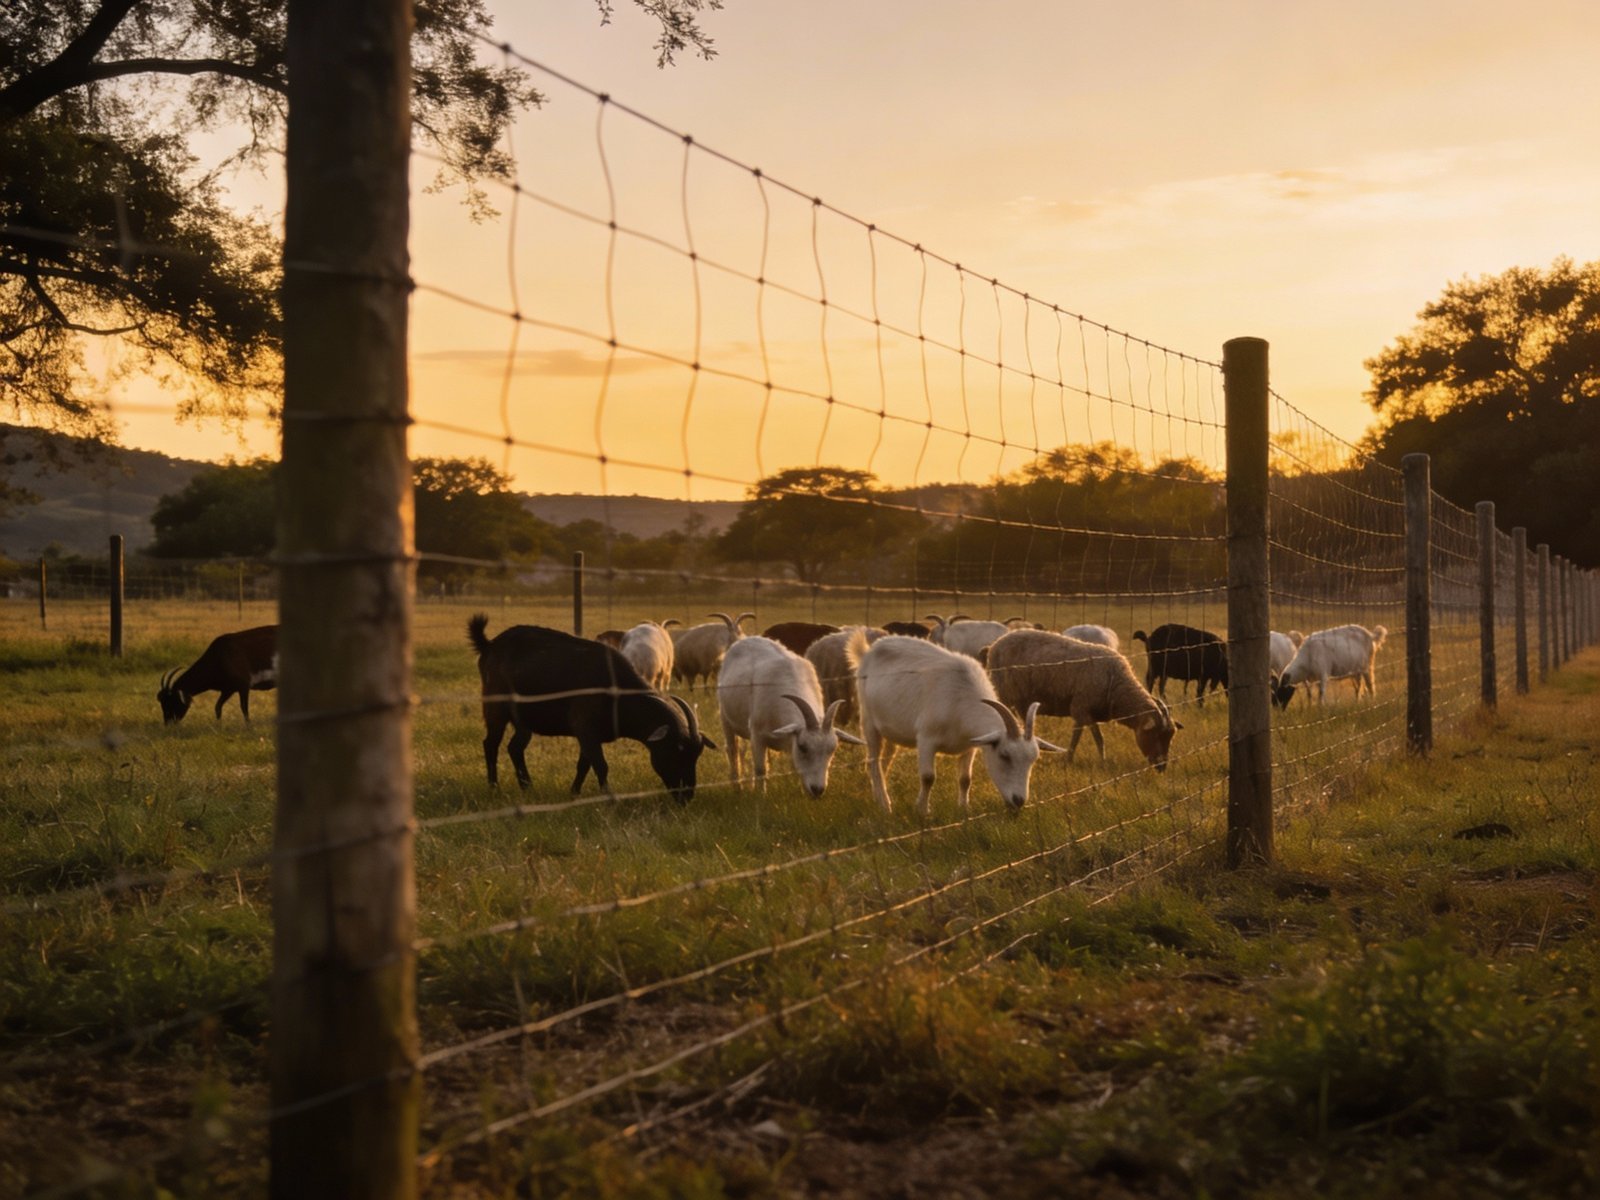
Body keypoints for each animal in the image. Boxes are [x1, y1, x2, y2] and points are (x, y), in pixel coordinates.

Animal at [469, 616, 714, 801]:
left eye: (696, 755)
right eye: (676, 751)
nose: (686, 796)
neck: (616, 691)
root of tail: (489, 645)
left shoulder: (590, 735)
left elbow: (584, 765)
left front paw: (574, 793)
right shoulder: (585, 728)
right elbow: (601, 765)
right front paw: (608, 798)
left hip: (524, 720)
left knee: (515, 748)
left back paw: (527, 787)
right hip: (495, 709)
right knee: (490, 744)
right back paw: (494, 787)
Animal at [717, 636, 863, 796]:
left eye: (832, 749)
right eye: (803, 747)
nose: (818, 789)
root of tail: (745, 639)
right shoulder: (757, 734)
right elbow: (761, 769)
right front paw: (760, 795)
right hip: (725, 717)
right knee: (733, 750)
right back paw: (737, 786)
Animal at [846, 630, 1064, 815]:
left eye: (1033, 759)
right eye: (1004, 755)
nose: (1019, 801)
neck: (960, 700)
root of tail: (868, 651)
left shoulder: (971, 745)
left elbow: (965, 779)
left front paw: (964, 808)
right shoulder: (926, 739)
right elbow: (928, 777)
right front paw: (922, 811)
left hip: (891, 729)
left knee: (884, 761)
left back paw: (878, 796)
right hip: (869, 722)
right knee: (873, 761)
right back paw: (885, 805)